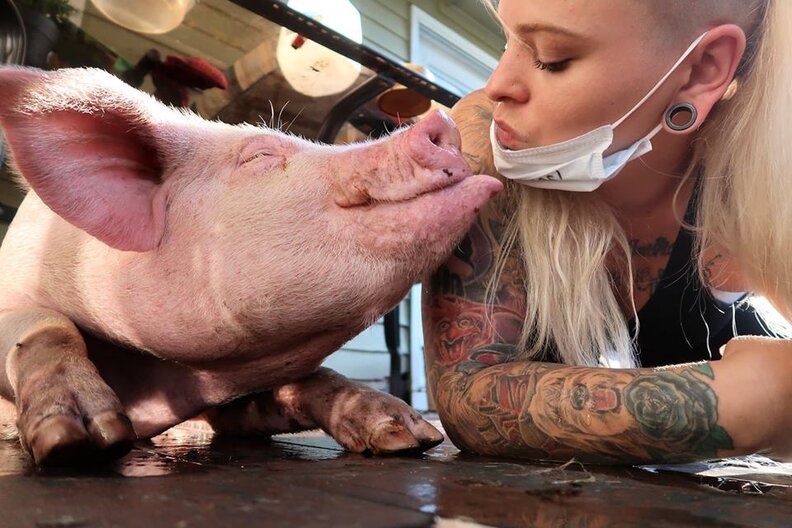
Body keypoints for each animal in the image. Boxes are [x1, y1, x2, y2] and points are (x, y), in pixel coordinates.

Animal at [0, 67, 502, 466]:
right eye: (260, 155)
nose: (442, 120)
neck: (168, 385)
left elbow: (305, 381)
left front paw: (412, 437)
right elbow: (48, 324)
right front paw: (81, 439)